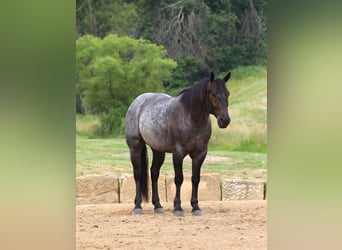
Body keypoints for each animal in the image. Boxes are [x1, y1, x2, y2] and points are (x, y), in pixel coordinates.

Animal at [124, 71, 231, 216]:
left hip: (158, 150)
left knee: (154, 173)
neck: (191, 118)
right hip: (135, 147)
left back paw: (158, 206)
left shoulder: (200, 154)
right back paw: (137, 206)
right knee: (138, 174)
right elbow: (179, 179)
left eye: (227, 93)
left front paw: (195, 207)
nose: (225, 120)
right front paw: (178, 208)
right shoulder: (178, 153)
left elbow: (195, 178)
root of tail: (137, 101)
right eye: (214, 93)